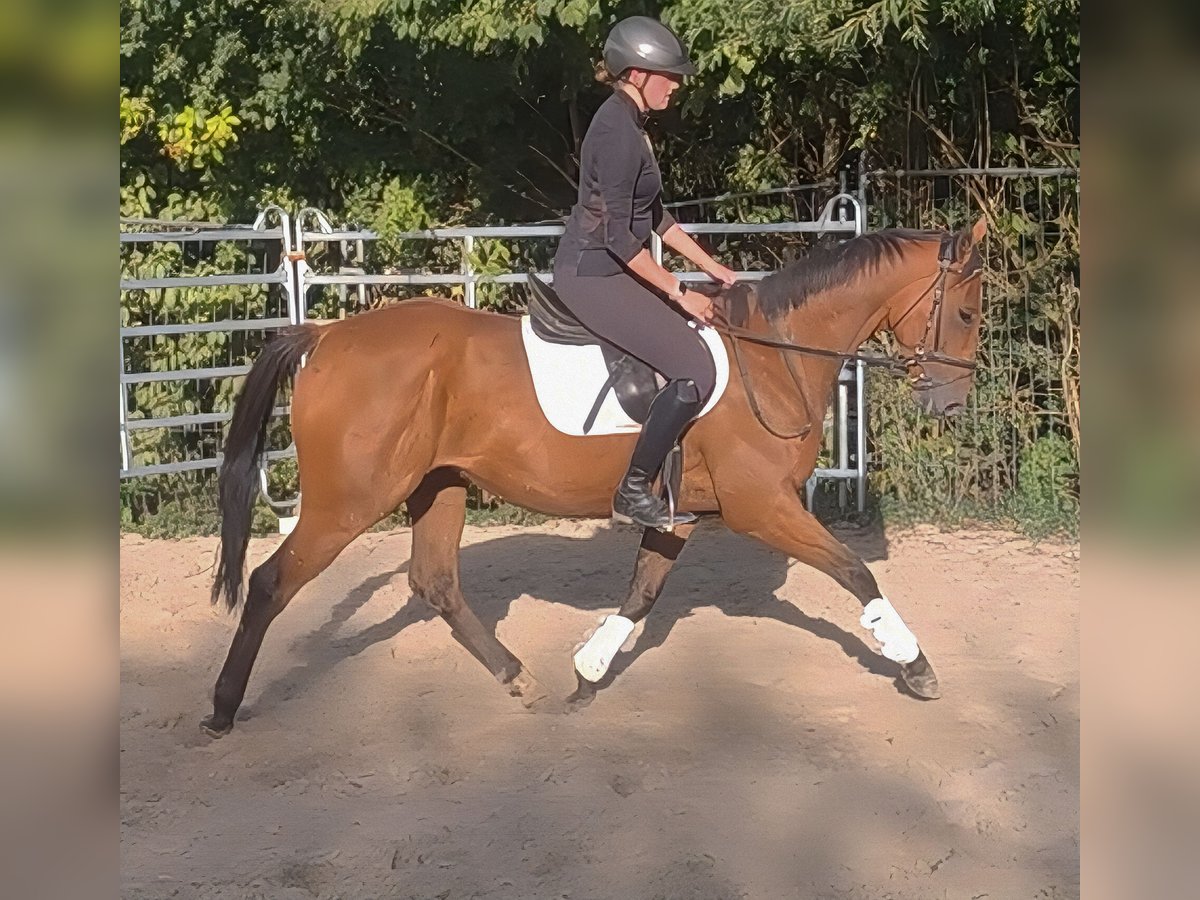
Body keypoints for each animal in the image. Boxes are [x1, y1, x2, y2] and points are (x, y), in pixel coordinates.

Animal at [200, 218, 987, 737]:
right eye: (967, 310)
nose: (952, 403)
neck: (772, 358)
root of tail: (325, 336)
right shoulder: (762, 506)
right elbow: (855, 571)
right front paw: (916, 666)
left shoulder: (681, 515)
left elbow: (640, 594)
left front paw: (586, 674)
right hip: (350, 500)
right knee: (271, 582)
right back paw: (222, 707)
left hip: (438, 486)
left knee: (436, 583)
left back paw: (520, 679)